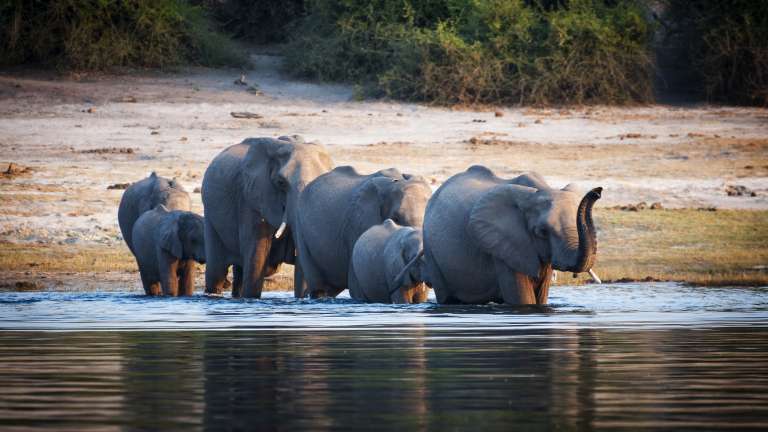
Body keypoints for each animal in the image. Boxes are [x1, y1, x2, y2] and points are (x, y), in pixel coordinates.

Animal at [422, 165, 602, 305]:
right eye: (542, 232)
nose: (598, 191)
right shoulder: (504, 247)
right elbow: (524, 300)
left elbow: (541, 298)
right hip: (430, 249)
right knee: (447, 297)